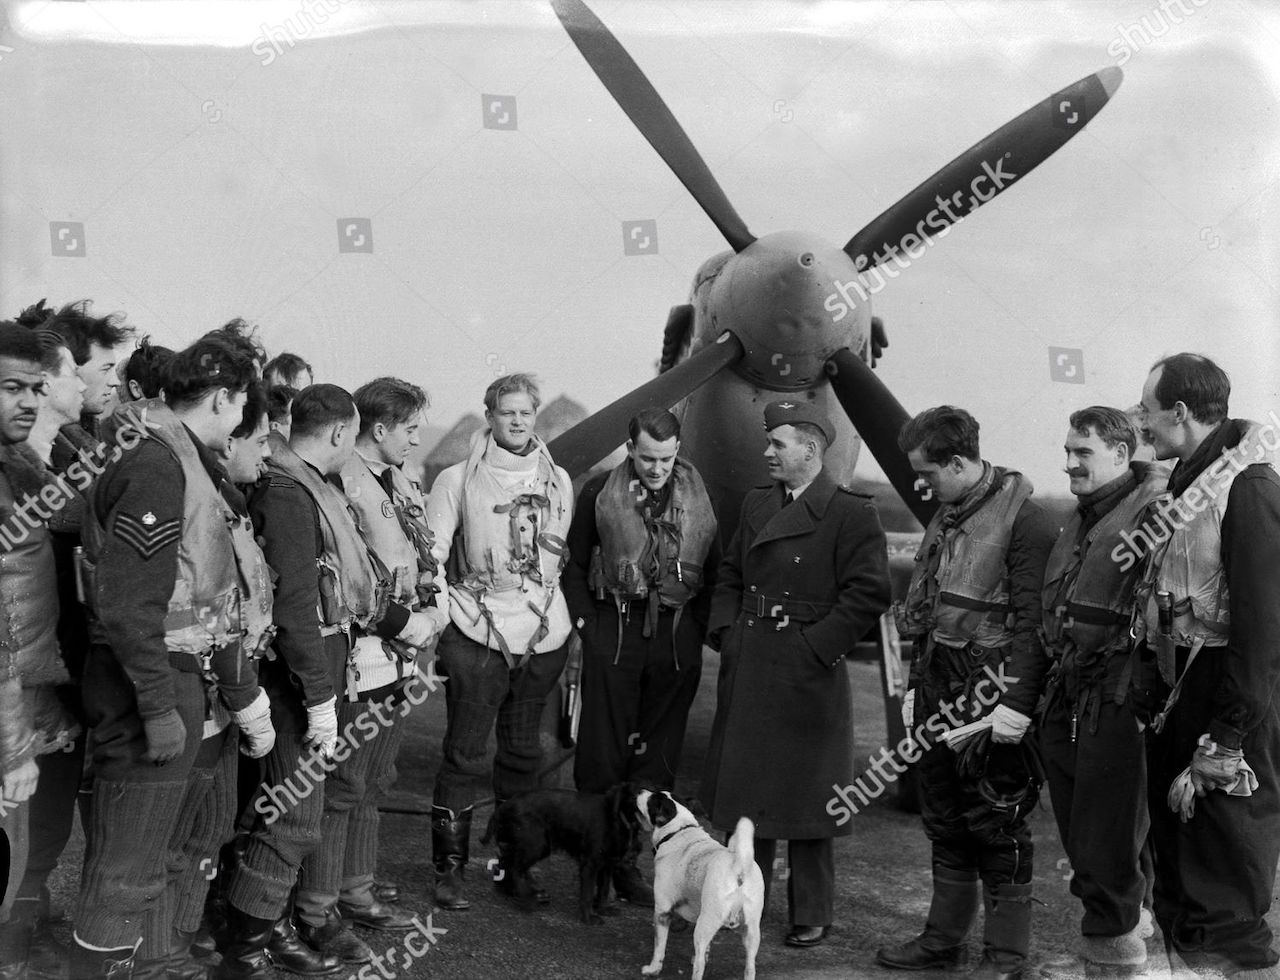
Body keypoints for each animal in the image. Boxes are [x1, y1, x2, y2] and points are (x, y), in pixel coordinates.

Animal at [481, 782, 640, 931]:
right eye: (635, 795)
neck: (616, 818)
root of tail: (505, 804)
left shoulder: (607, 865)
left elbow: (604, 889)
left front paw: (603, 909)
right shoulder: (590, 864)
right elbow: (587, 894)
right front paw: (588, 918)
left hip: (540, 846)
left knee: (506, 862)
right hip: (536, 845)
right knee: (515, 868)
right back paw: (526, 900)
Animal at [632, 788, 757, 980]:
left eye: (652, 800)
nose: (640, 790)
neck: (678, 831)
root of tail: (739, 866)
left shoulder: (662, 911)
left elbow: (659, 948)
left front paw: (653, 969)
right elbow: (706, 950)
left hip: (704, 926)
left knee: (699, 966)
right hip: (751, 932)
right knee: (750, 967)